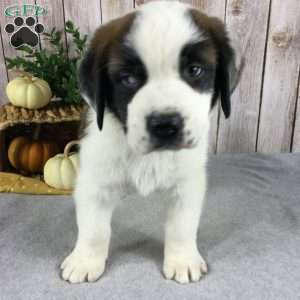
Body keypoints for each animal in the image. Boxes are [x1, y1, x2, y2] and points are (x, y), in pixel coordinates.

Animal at [60, 0, 241, 284]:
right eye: (128, 79)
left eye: (195, 70)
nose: (165, 125)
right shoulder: (95, 182)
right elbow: (94, 229)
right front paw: (85, 260)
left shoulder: (187, 183)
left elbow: (181, 227)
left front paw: (182, 260)